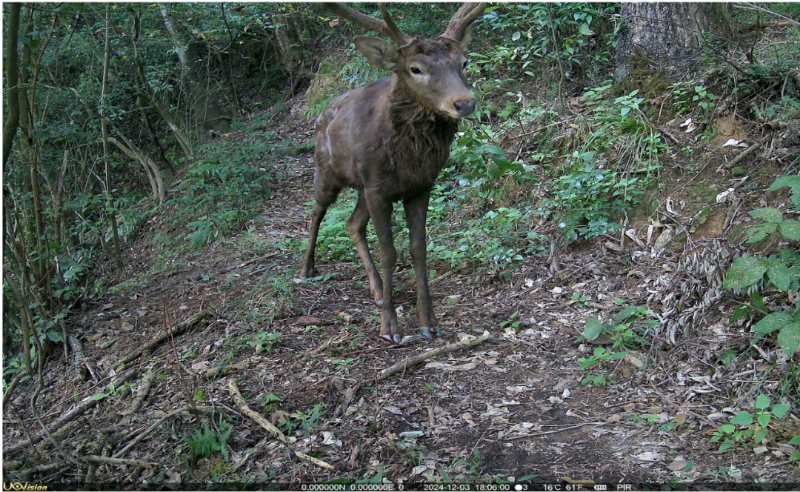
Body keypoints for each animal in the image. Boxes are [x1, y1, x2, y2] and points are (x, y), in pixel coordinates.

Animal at [302, 2, 484, 342]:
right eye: (415, 68)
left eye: (464, 62)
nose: (464, 103)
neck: (409, 160)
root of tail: (322, 112)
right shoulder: (377, 190)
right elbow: (389, 252)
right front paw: (390, 327)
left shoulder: (420, 186)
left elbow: (418, 249)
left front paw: (428, 322)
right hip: (327, 172)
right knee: (317, 210)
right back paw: (307, 268)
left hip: (362, 188)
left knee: (352, 224)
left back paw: (376, 289)